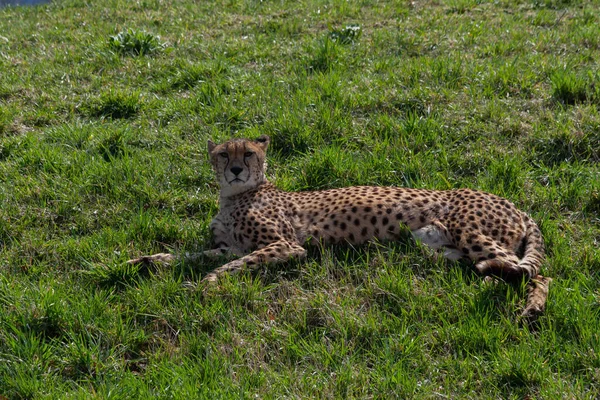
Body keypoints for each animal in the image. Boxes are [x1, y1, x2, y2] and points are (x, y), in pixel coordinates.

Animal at [130, 136, 552, 318]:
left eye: (248, 153)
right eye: (222, 154)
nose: (235, 169)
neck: (236, 194)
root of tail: (514, 203)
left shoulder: (285, 246)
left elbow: (232, 264)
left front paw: (206, 284)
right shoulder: (228, 245)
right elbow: (192, 254)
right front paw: (148, 261)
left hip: (468, 229)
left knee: (535, 273)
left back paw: (529, 307)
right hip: (438, 246)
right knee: (507, 269)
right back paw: (489, 280)